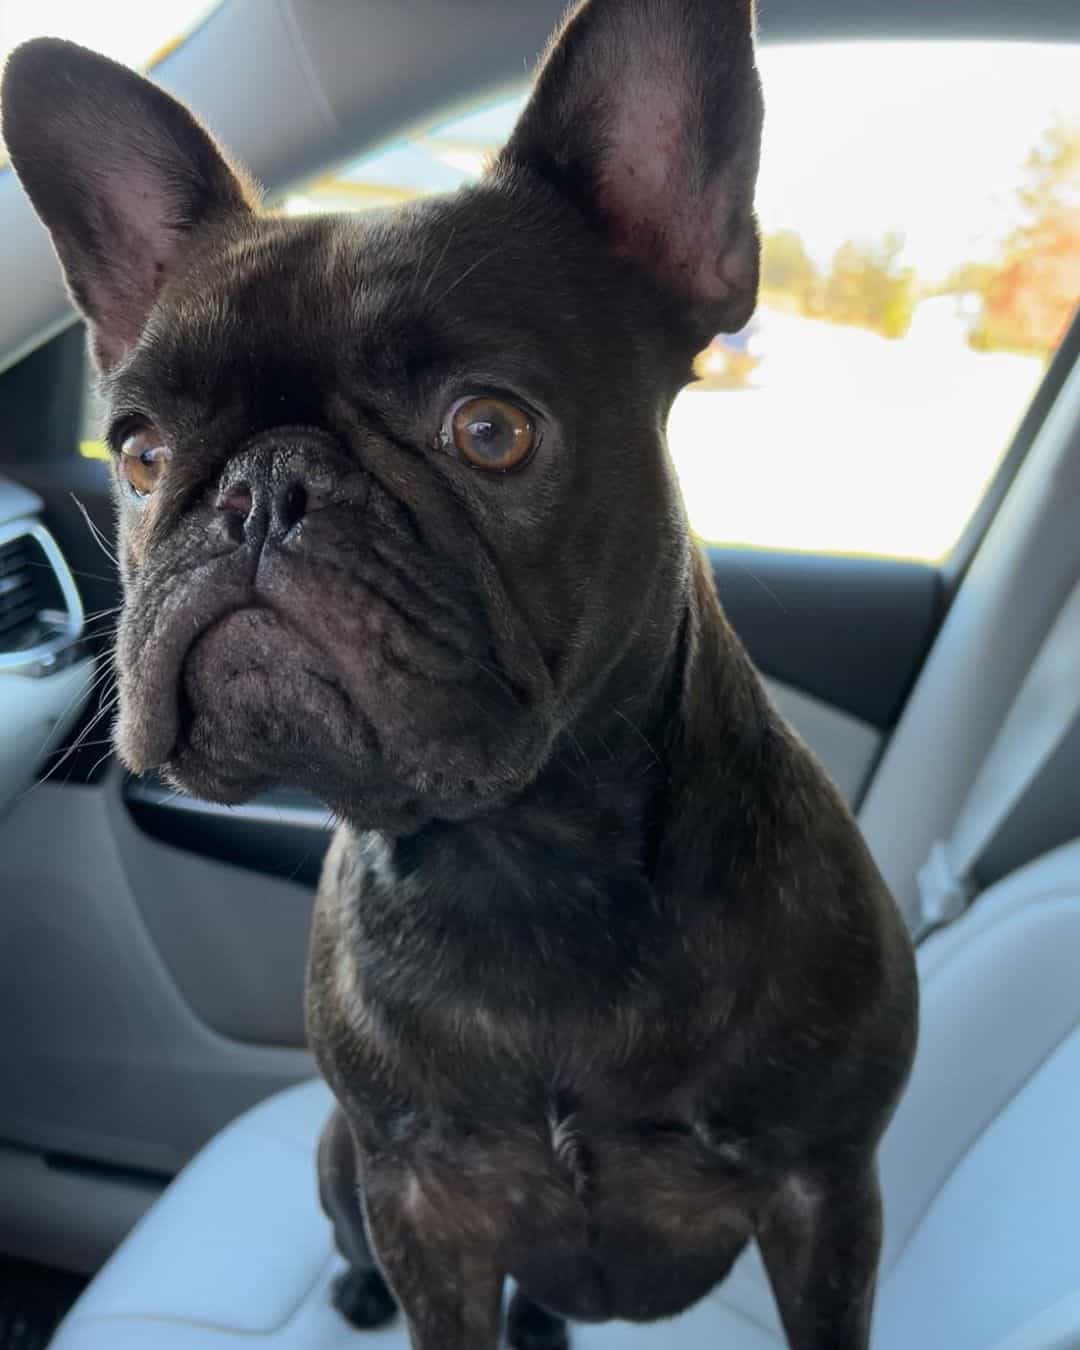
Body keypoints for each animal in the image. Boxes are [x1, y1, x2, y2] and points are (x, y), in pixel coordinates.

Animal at [4, 5, 918, 1344]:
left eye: (491, 431)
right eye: (139, 452)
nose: (260, 492)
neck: (522, 861)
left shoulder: (827, 1196)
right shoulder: (419, 1196)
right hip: (339, 1156)